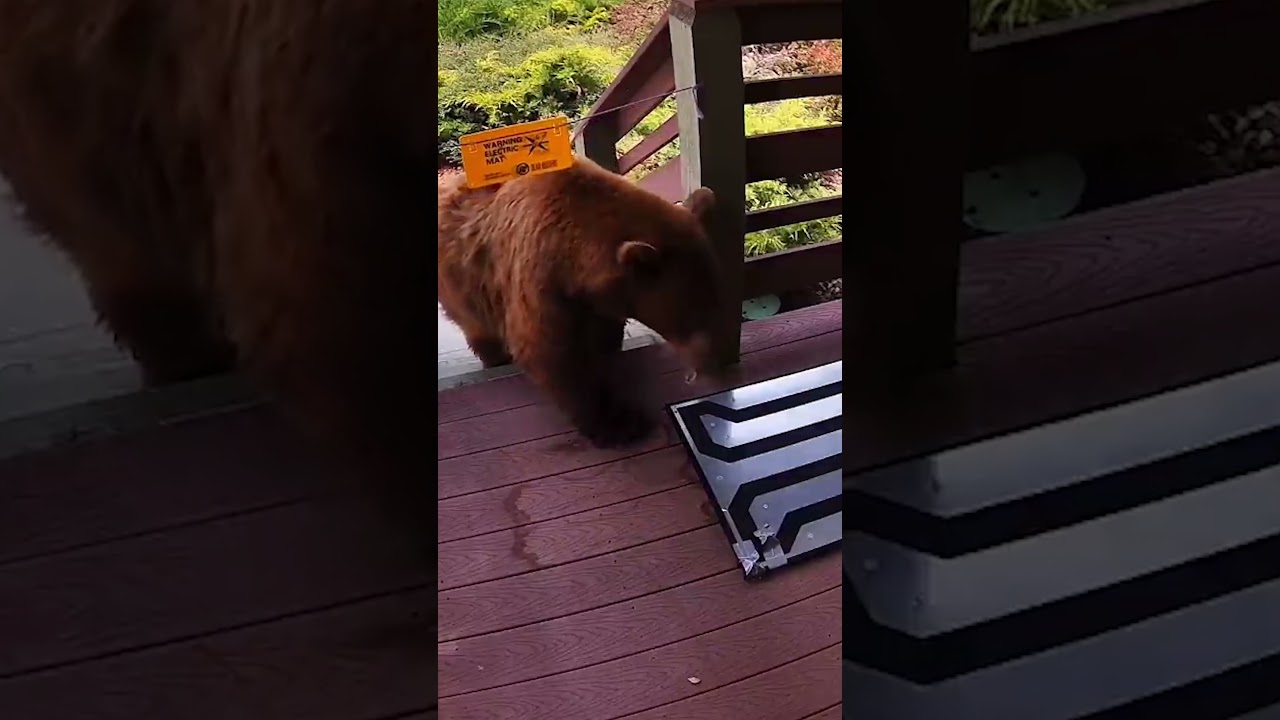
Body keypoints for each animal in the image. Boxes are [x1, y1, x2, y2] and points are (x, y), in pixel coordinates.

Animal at [437, 157, 729, 447]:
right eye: (692, 312)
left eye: (717, 298)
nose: (713, 362)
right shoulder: (539, 280)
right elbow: (553, 354)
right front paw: (618, 422)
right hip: (461, 290)